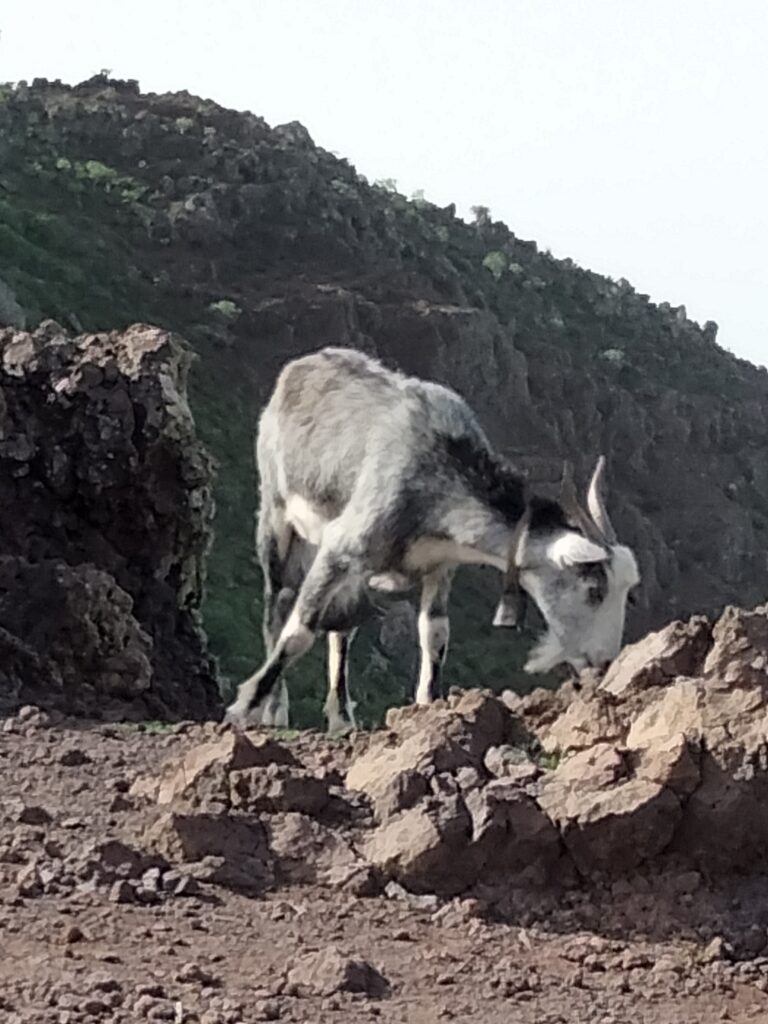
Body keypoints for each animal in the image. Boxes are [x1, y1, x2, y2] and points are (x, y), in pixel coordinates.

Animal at [225, 346, 640, 734]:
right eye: (594, 589)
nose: (604, 662)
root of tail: (306, 363)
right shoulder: (342, 546)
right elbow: (299, 631)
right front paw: (244, 708)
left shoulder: (440, 565)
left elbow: (434, 633)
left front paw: (429, 707)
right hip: (277, 513)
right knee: (278, 602)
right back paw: (275, 710)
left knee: (342, 630)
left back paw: (342, 719)